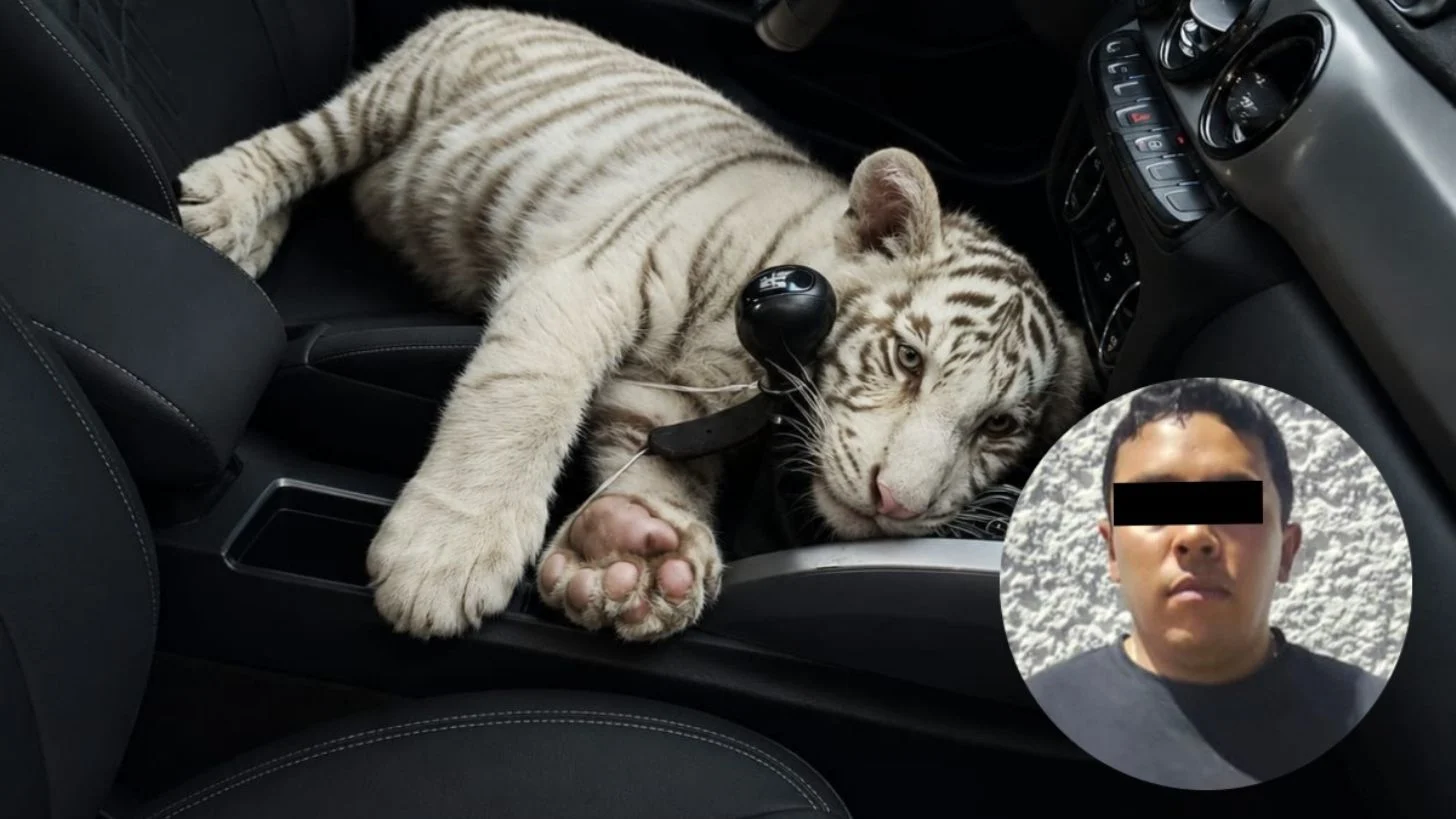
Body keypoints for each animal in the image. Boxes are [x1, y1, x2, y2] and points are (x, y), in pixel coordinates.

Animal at [175, 7, 1095, 642]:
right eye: (908, 358)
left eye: (1000, 426)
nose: (898, 503)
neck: (750, 358)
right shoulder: (584, 278)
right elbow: (521, 403)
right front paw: (445, 555)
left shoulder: (672, 397)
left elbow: (659, 468)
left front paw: (636, 554)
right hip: (397, 94)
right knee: (304, 143)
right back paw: (223, 209)